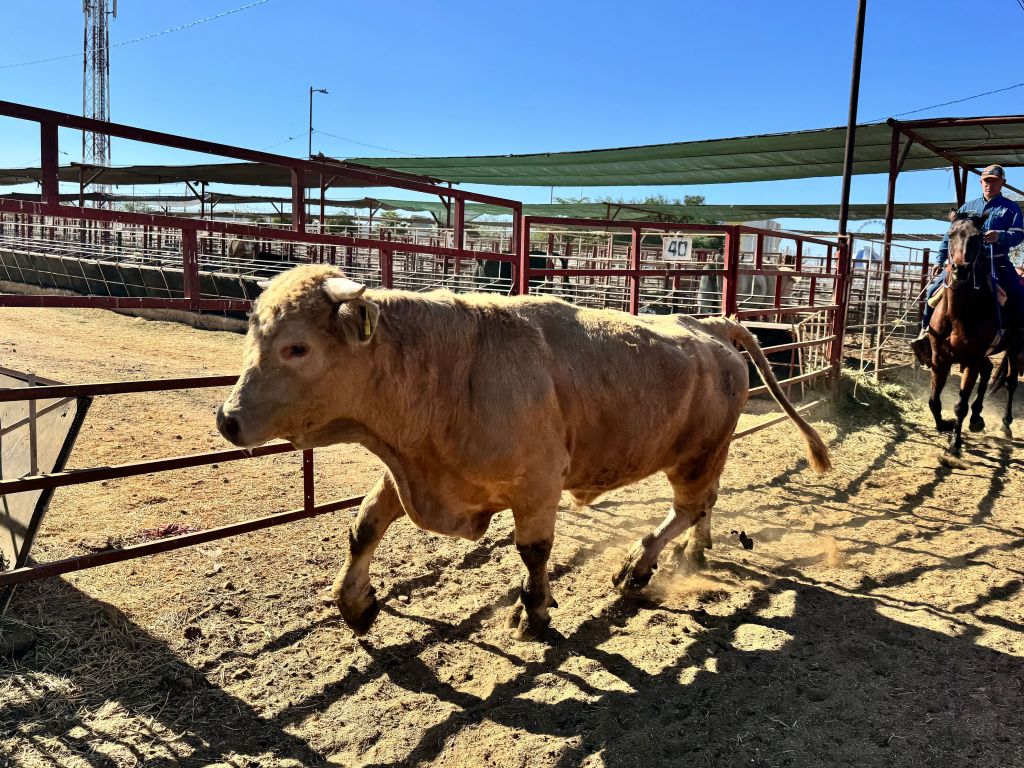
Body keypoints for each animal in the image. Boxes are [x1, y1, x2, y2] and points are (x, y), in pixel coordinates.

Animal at [216, 265, 831, 640]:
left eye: (297, 348)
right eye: (253, 336)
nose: (227, 418)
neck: (453, 369)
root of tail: (711, 325)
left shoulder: (537, 485)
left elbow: (534, 552)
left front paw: (533, 610)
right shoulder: (409, 469)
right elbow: (364, 525)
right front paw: (354, 600)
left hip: (698, 454)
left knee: (687, 506)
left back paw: (638, 565)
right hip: (708, 454)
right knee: (704, 505)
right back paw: (693, 552)